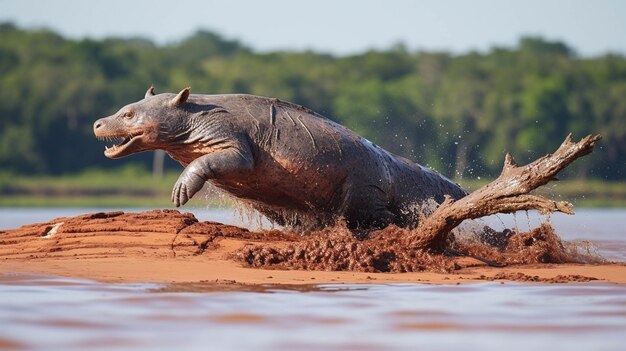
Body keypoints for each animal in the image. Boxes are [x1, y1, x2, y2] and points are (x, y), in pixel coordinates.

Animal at [91, 87, 464, 231]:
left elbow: (210, 163)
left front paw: (181, 189)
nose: (97, 123)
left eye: (128, 114)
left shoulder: (233, 144)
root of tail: (392, 162)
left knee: (389, 219)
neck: (193, 114)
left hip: (364, 193)